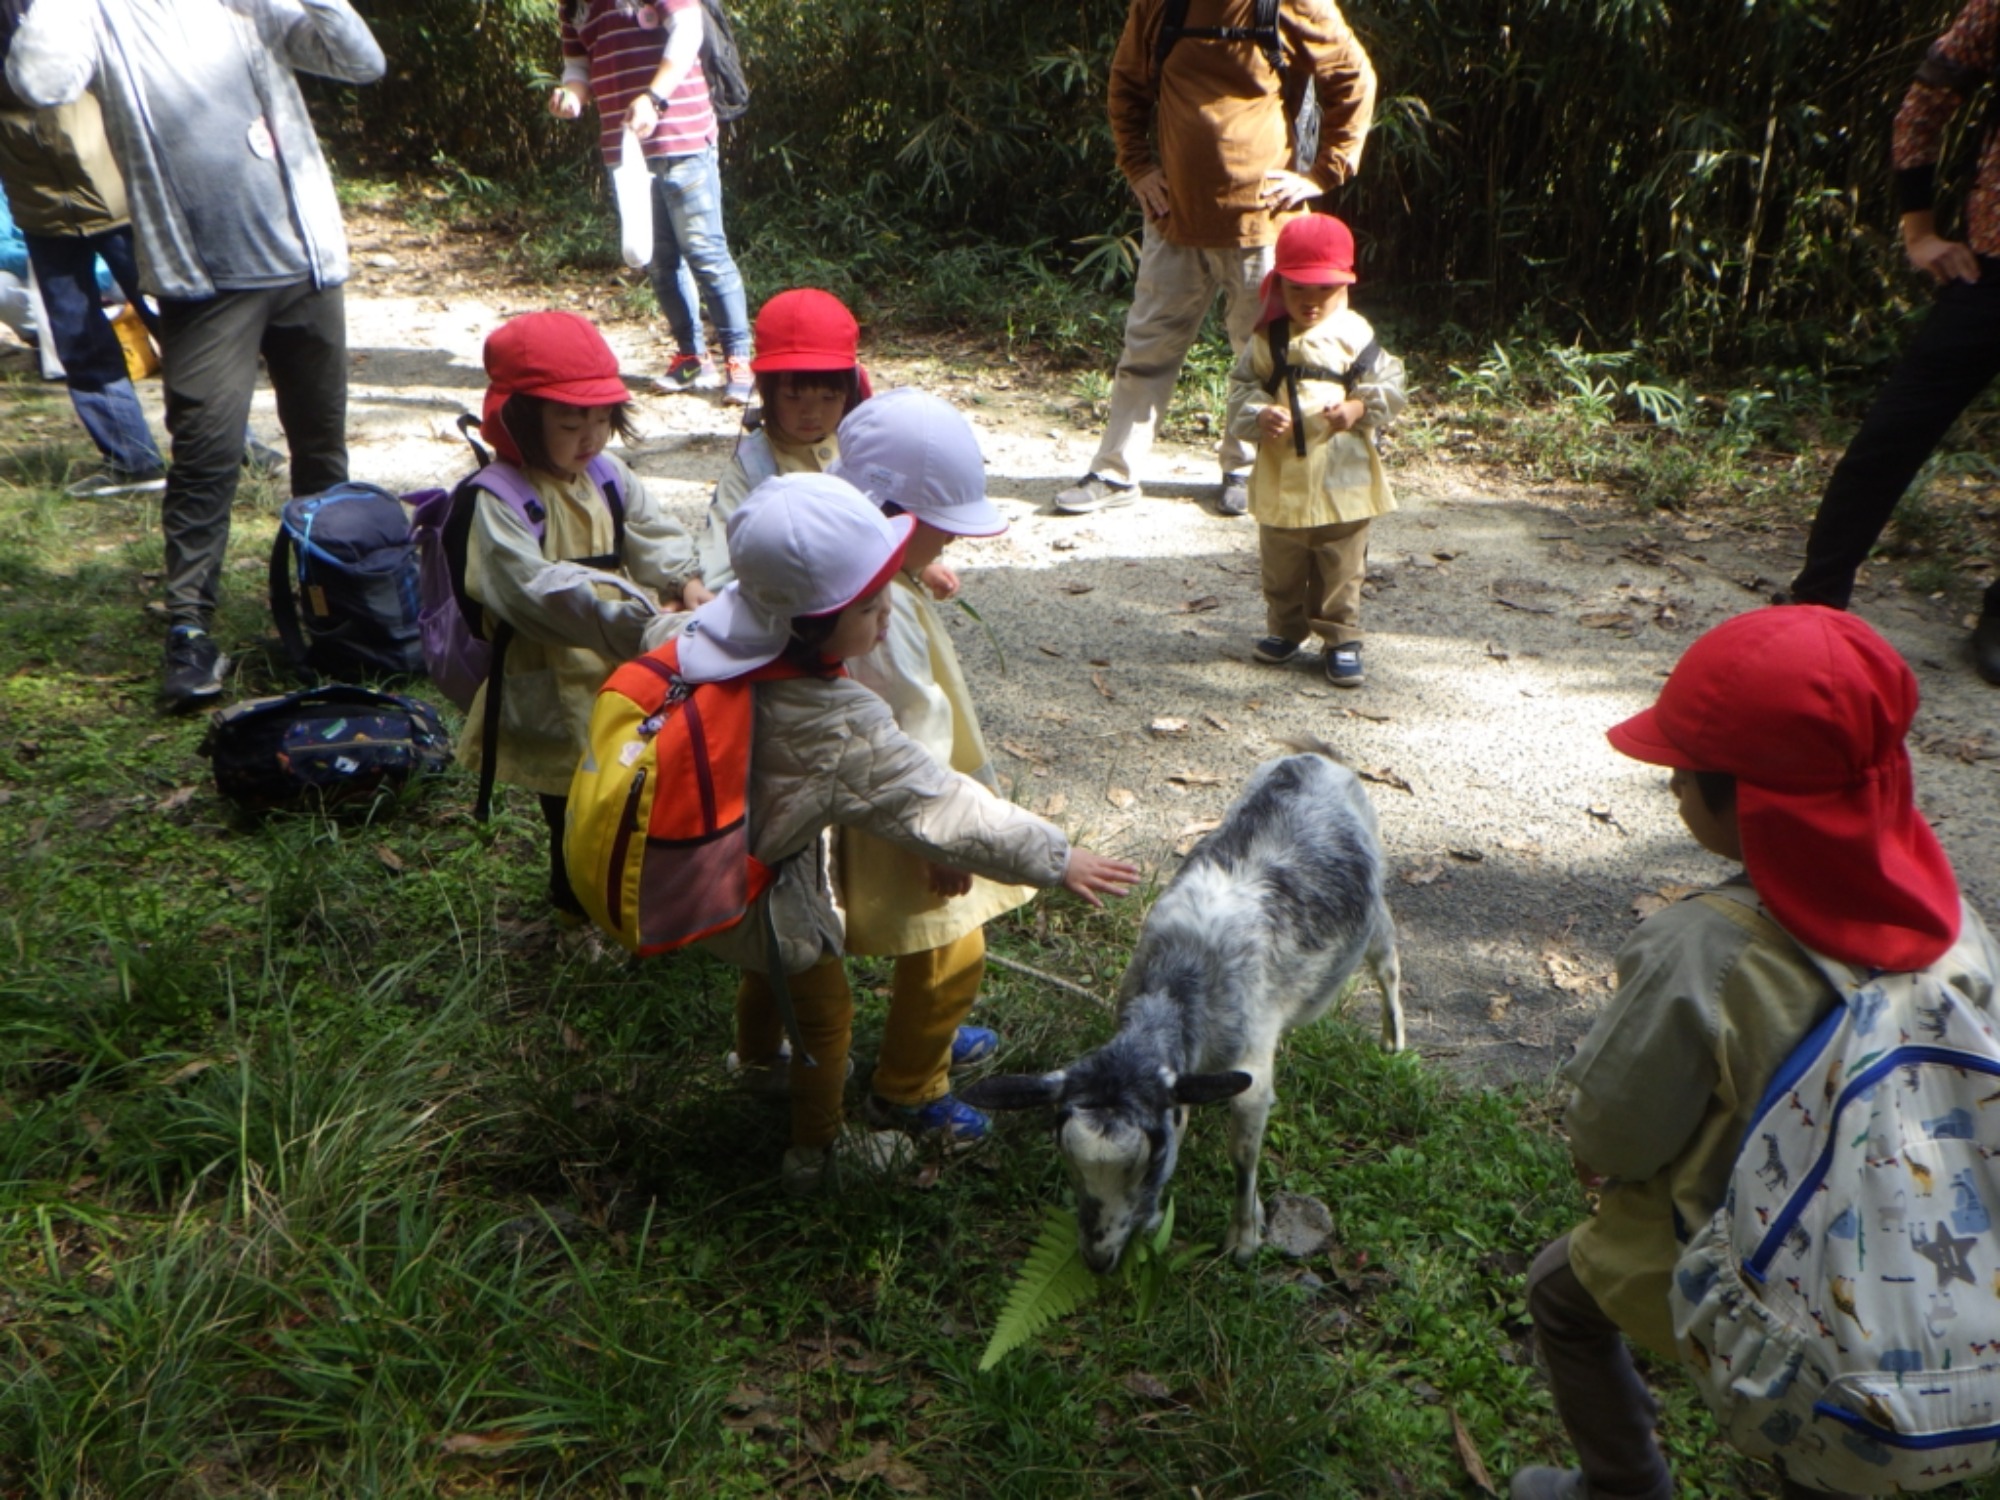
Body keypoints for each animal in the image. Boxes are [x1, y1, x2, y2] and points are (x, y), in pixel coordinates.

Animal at [960, 748, 1400, 1272]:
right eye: (1067, 1157)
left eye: (1153, 1159)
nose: (1098, 1259)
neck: (1180, 982)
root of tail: (1316, 758)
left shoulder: (1250, 1072)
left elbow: (1242, 1155)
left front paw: (1244, 1237)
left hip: (1375, 912)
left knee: (1388, 962)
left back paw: (1394, 1041)